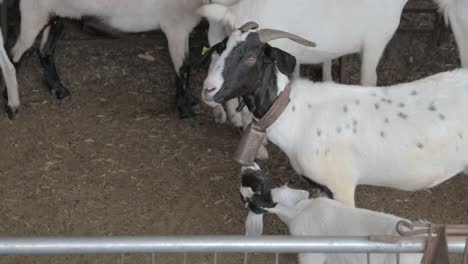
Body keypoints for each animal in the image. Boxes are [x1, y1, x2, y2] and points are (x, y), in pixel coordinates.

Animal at [10, 0, 210, 118]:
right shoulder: (176, 27)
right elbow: (183, 67)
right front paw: (185, 110)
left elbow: (184, 67)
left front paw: (190, 100)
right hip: (34, 14)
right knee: (15, 55)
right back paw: (9, 102)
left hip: (55, 16)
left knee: (45, 51)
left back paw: (58, 90)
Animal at [205, 23, 468, 207]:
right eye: (221, 49)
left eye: (251, 58)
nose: (207, 89)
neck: (297, 114)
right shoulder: (323, 187)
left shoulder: (341, 185)